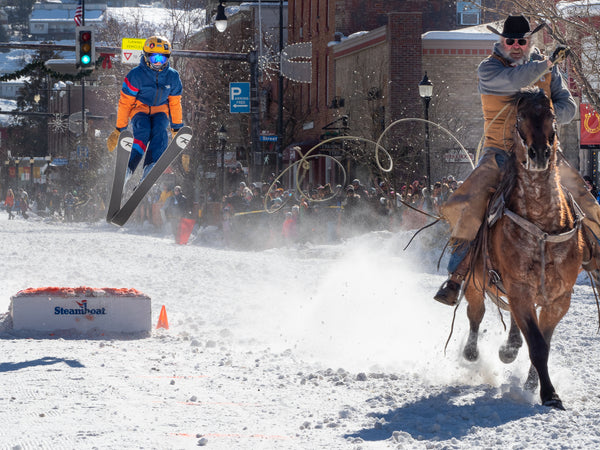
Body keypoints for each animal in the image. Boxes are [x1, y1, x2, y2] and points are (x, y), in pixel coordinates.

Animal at [462, 86, 584, 410]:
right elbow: (538, 345)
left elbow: (543, 341)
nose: (540, 154)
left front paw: (533, 385)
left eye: (552, 114)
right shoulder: (519, 289)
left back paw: (510, 348)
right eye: (519, 117)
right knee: (475, 313)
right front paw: (549, 394)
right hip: (476, 281)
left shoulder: (559, 299)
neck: (542, 224)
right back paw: (471, 352)